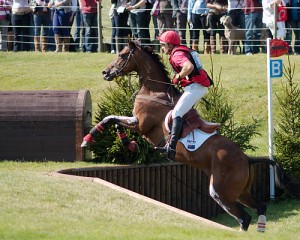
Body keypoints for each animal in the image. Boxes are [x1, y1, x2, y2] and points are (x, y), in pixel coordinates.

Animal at [81, 40, 298, 232]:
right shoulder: (135, 122)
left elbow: (111, 119)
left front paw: (87, 140)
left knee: (244, 217)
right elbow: (112, 120)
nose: (105, 72)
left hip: (221, 190)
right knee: (260, 207)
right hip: (241, 191)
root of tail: (246, 158)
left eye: (122, 54)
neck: (153, 90)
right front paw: (128, 144)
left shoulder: (141, 124)